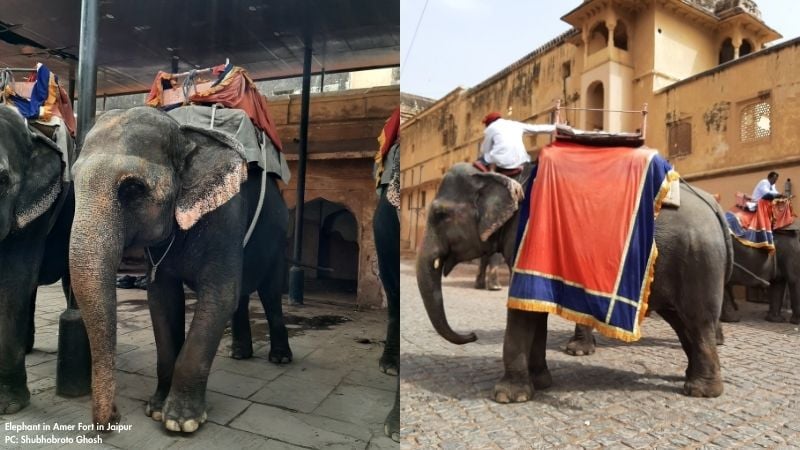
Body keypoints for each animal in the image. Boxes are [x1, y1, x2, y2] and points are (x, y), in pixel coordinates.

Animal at [69, 106, 291, 433]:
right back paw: (240, 354)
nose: (113, 419)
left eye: (132, 188)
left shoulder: (226, 218)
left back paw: (280, 358)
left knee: (270, 294)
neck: (185, 137)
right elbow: (162, 299)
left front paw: (181, 422)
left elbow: (219, 296)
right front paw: (155, 409)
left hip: (280, 237)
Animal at [417, 162, 733, 402]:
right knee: (682, 323)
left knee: (697, 321)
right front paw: (541, 382)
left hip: (697, 260)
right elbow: (534, 310)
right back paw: (692, 380)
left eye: (440, 215)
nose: (472, 335)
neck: (504, 176)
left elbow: (522, 311)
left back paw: (701, 391)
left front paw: (507, 396)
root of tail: (713, 205)